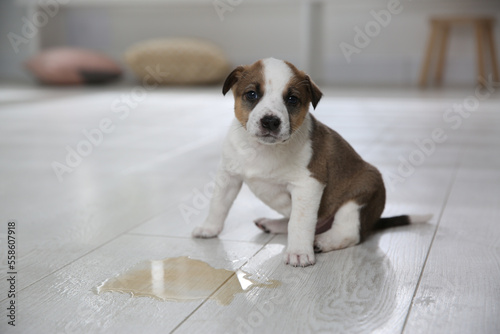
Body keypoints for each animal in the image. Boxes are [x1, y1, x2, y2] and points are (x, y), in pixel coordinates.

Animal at [191, 56, 430, 266]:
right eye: (251, 94)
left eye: (292, 99)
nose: (270, 121)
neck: (263, 150)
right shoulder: (228, 176)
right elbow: (218, 204)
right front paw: (209, 228)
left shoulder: (307, 186)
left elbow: (300, 223)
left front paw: (298, 253)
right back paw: (273, 224)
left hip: (359, 196)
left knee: (349, 232)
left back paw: (323, 241)